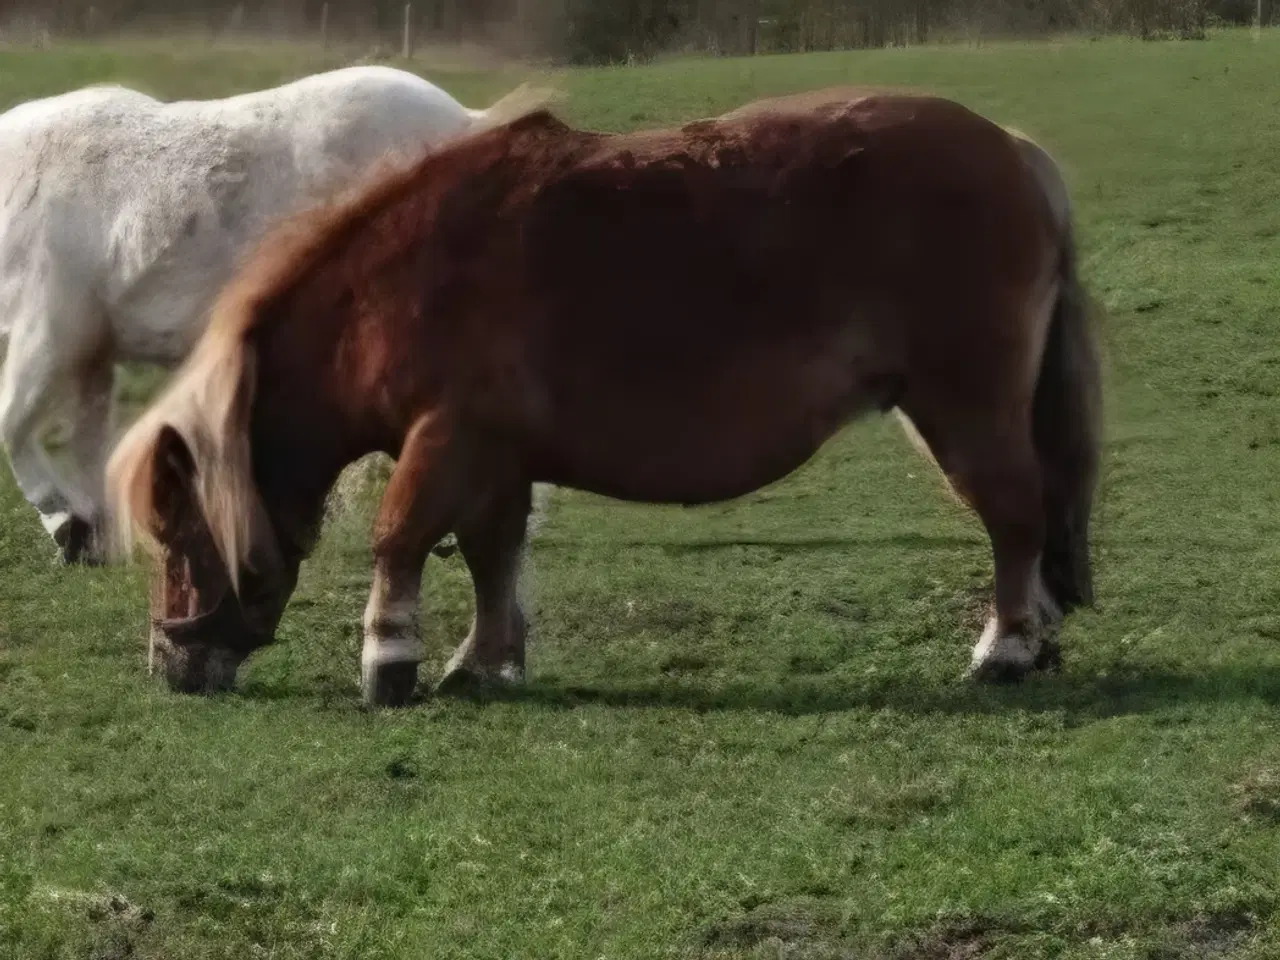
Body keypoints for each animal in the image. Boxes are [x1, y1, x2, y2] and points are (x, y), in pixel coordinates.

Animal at [0, 66, 539, 565]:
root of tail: (469, 121)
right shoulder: (93, 351)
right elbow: (87, 442)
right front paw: (93, 535)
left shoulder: (51, 332)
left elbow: (11, 423)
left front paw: (67, 525)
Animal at [105, 86, 1102, 707]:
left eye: (179, 533)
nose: (169, 664)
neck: (398, 285)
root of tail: (1016, 154)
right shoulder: (496, 456)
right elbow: (491, 558)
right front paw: (483, 663)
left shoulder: (447, 437)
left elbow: (402, 539)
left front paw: (389, 658)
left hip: (963, 409)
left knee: (1015, 516)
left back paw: (1005, 649)